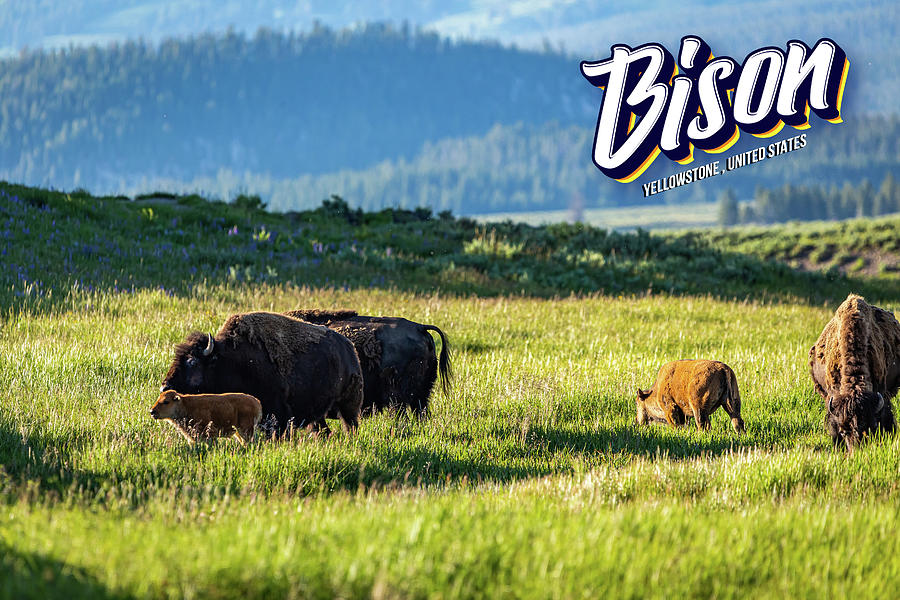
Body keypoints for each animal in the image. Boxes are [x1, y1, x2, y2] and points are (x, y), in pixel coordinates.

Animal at [162, 312, 362, 434]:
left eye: (192, 361)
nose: (165, 386)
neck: (227, 360)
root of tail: (349, 348)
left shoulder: (278, 414)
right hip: (318, 414)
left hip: (348, 405)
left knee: (350, 425)